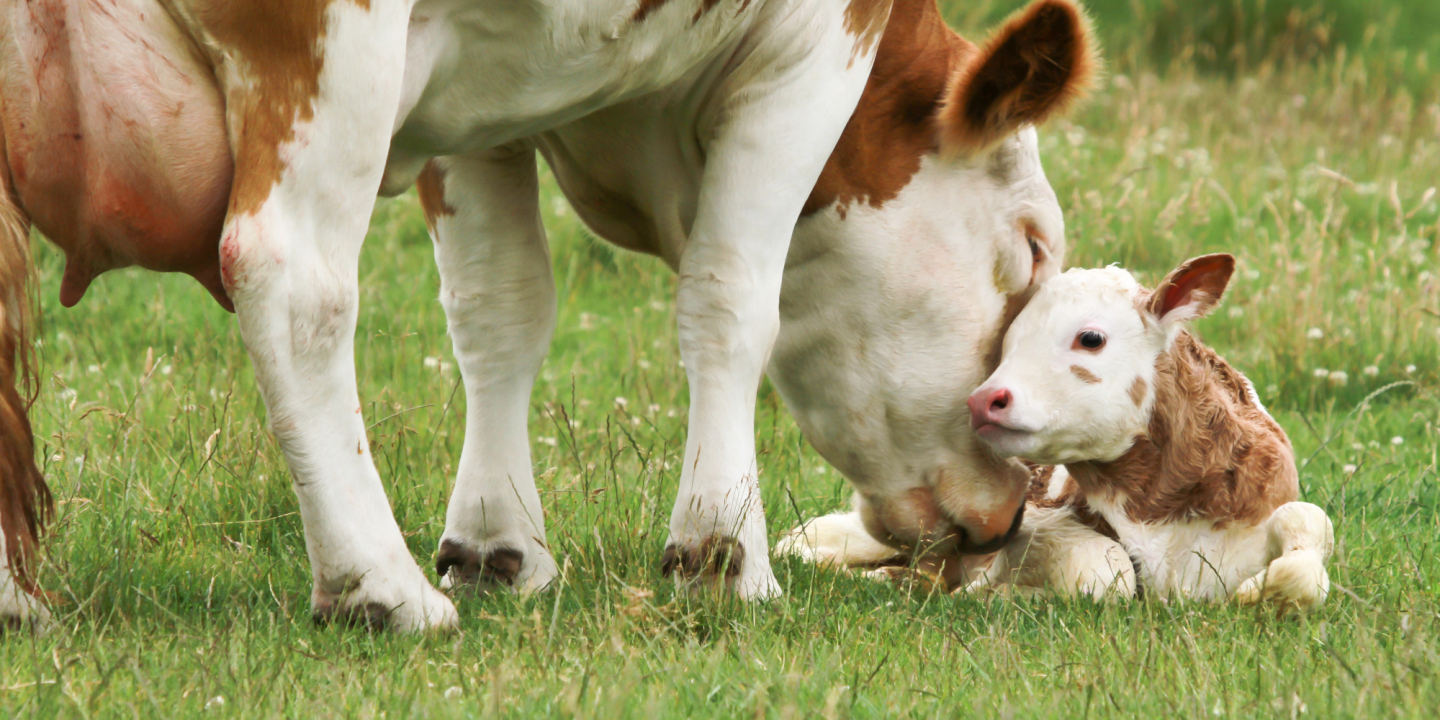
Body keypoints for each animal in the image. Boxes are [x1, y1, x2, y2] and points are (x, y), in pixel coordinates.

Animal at [0, 0, 1095, 630]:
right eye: (1035, 245)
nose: (1016, 508)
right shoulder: (813, 55)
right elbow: (734, 298)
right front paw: (723, 555)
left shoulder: (477, 103)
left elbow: (500, 306)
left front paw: (496, 543)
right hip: (330, 53)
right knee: (294, 281)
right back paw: (380, 587)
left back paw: (16, 600)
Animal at [782, 255, 1334, 613]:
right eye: (1007, 343)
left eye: (1090, 338)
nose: (984, 399)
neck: (1162, 507)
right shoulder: (1038, 523)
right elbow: (1107, 568)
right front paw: (998, 594)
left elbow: (1310, 528)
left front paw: (1264, 593)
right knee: (804, 542)